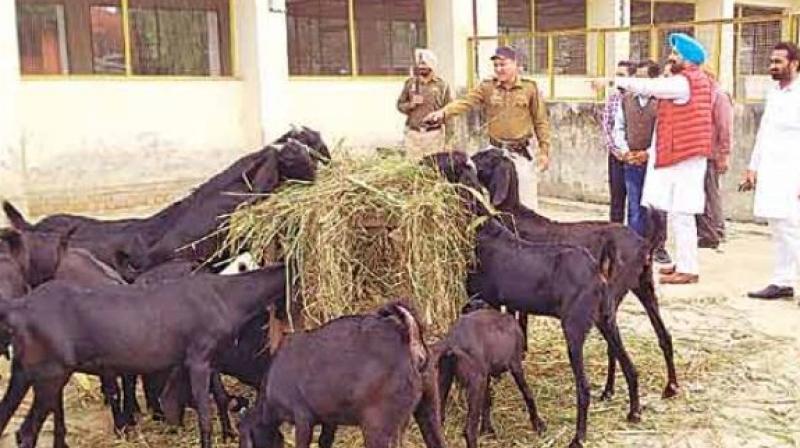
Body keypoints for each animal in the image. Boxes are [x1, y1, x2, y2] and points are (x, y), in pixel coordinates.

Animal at [438, 298, 544, 448]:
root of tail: (453, 342)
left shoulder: (486, 376)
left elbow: (487, 401)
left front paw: (487, 429)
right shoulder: (515, 365)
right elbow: (527, 393)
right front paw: (538, 424)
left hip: (445, 379)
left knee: (439, 418)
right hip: (476, 381)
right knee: (469, 429)